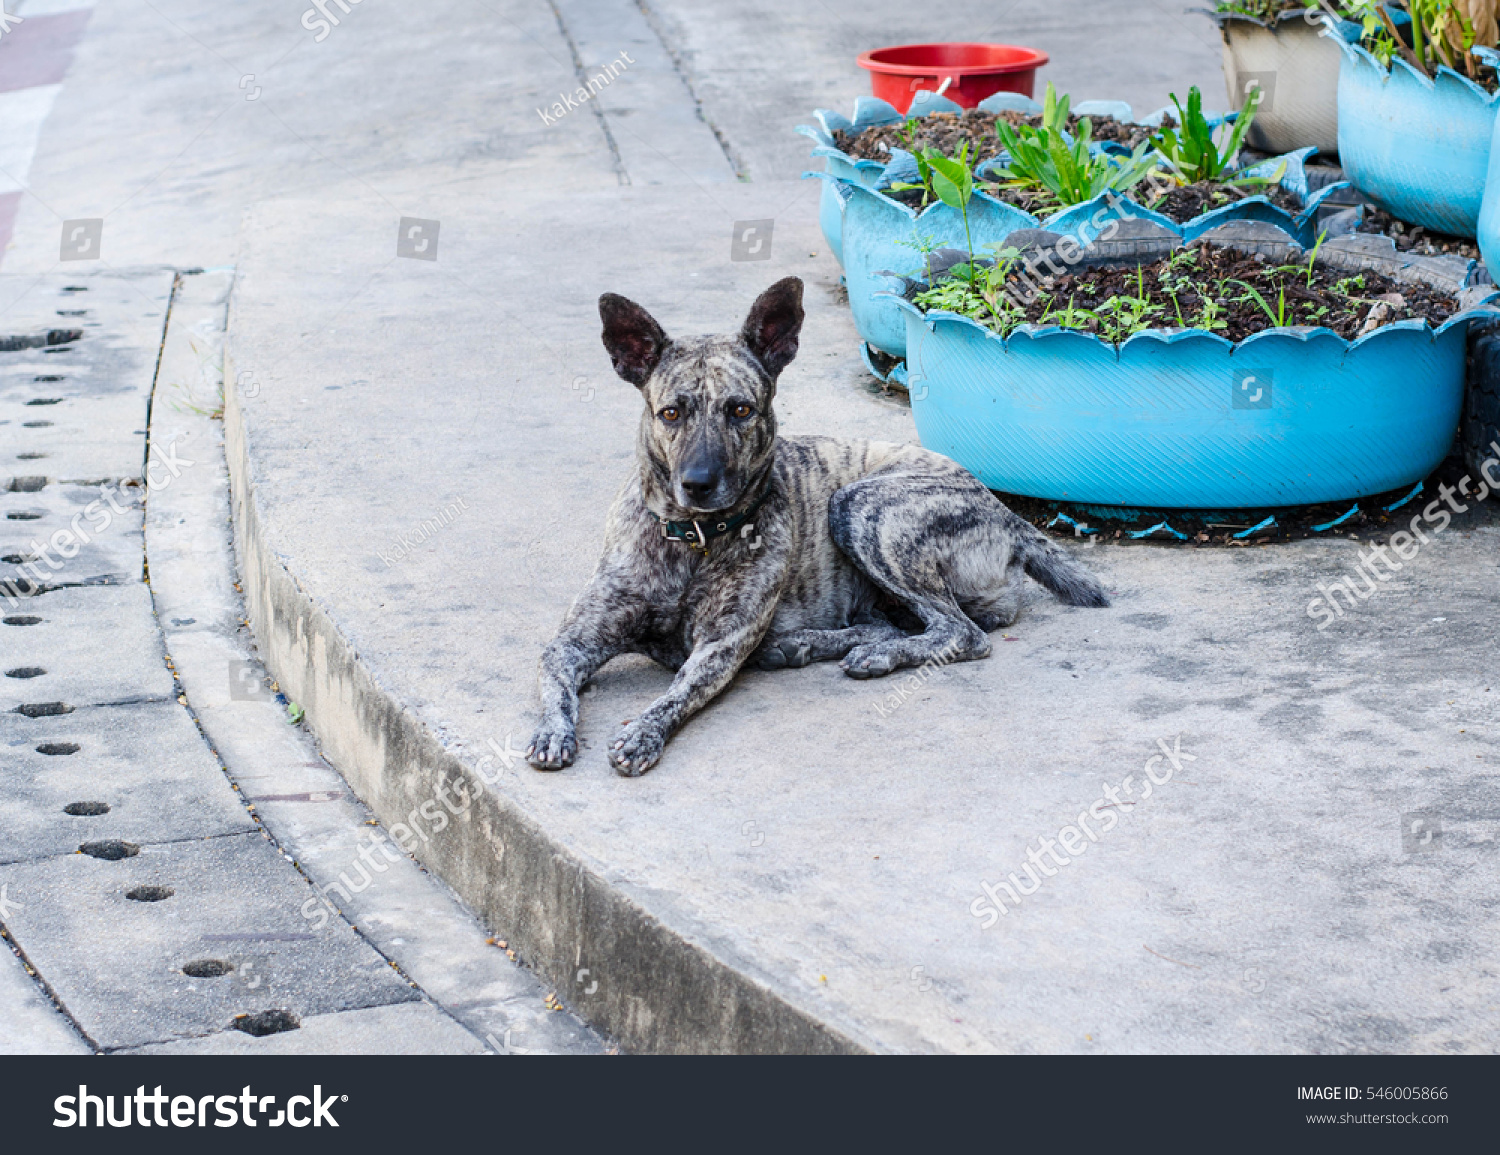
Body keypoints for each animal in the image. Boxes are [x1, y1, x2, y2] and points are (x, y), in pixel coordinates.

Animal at [525, 276, 1104, 774]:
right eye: (670, 413)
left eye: (740, 410)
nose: (698, 482)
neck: (694, 539)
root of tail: (1004, 511)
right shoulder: (575, 639)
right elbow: (553, 677)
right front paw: (551, 731)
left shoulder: (719, 647)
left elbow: (674, 695)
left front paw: (642, 732)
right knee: (898, 623)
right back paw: (803, 645)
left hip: (861, 506)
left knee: (960, 632)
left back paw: (870, 653)